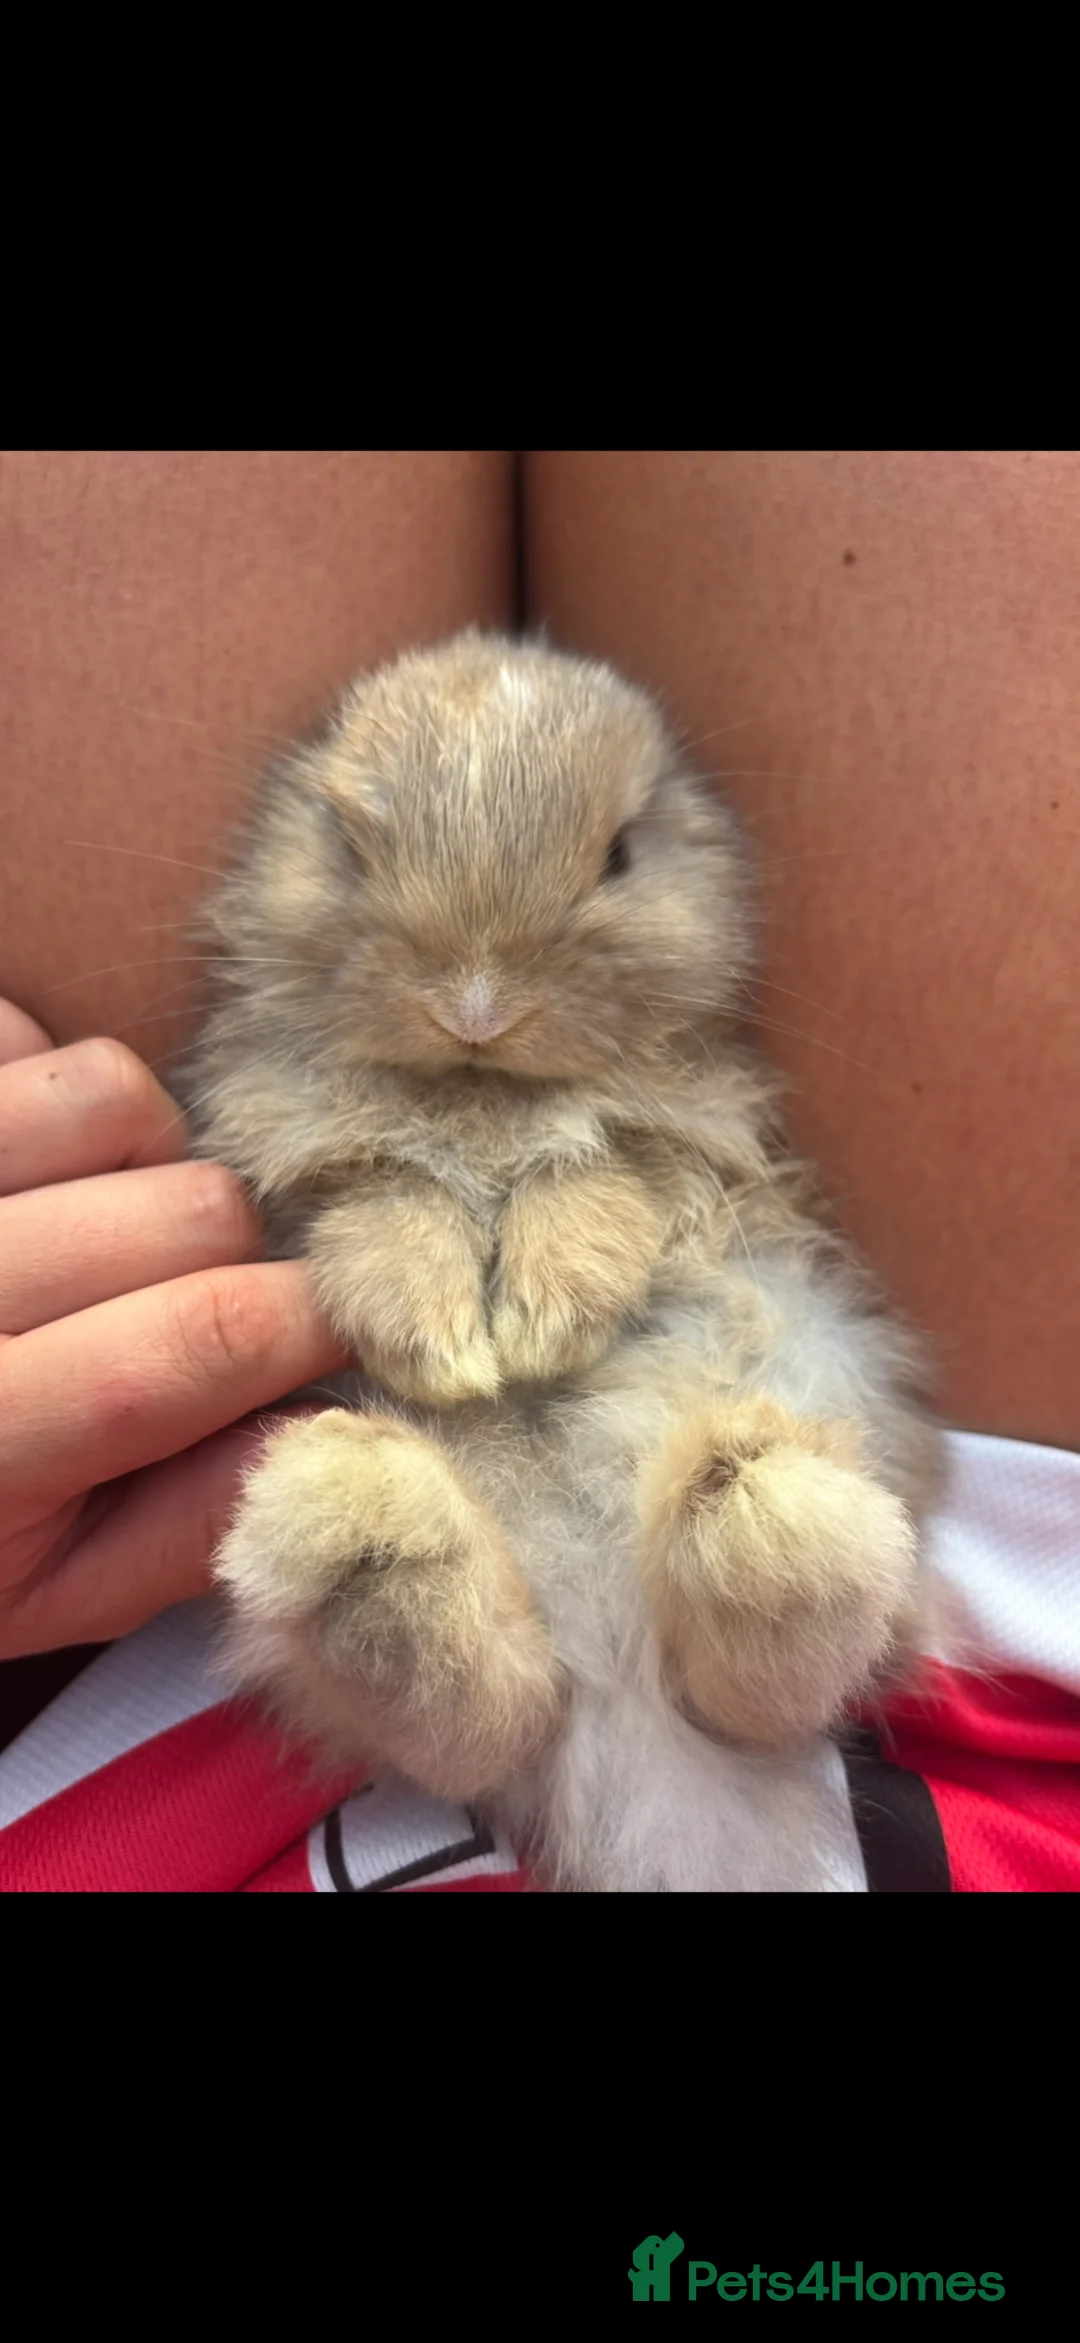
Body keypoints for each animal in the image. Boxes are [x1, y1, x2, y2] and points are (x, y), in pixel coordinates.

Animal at [181, 628, 943, 1892]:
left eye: (622, 855)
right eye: (349, 846)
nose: (476, 1005)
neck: (484, 1089)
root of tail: (611, 1678)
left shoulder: (680, 1141)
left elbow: (595, 1189)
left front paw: (539, 1330)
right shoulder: (313, 1160)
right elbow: (389, 1209)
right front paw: (449, 1349)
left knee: (763, 1683)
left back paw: (756, 1496)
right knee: (495, 1711)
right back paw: (366, 1529)